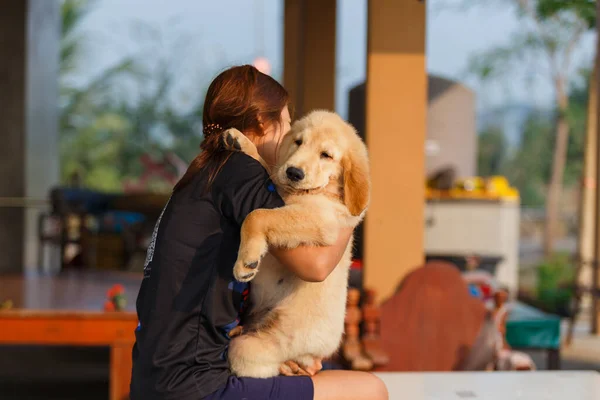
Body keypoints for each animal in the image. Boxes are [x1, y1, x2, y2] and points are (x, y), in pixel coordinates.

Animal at [220, 109, 370, 378]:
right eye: (298, 142)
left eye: (326, 155)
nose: (294, 173)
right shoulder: (278, 185)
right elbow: (266, 166)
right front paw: (240, 141)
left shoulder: (318, 219)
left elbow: (257, 215)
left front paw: (246, 261)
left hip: (255, 346)